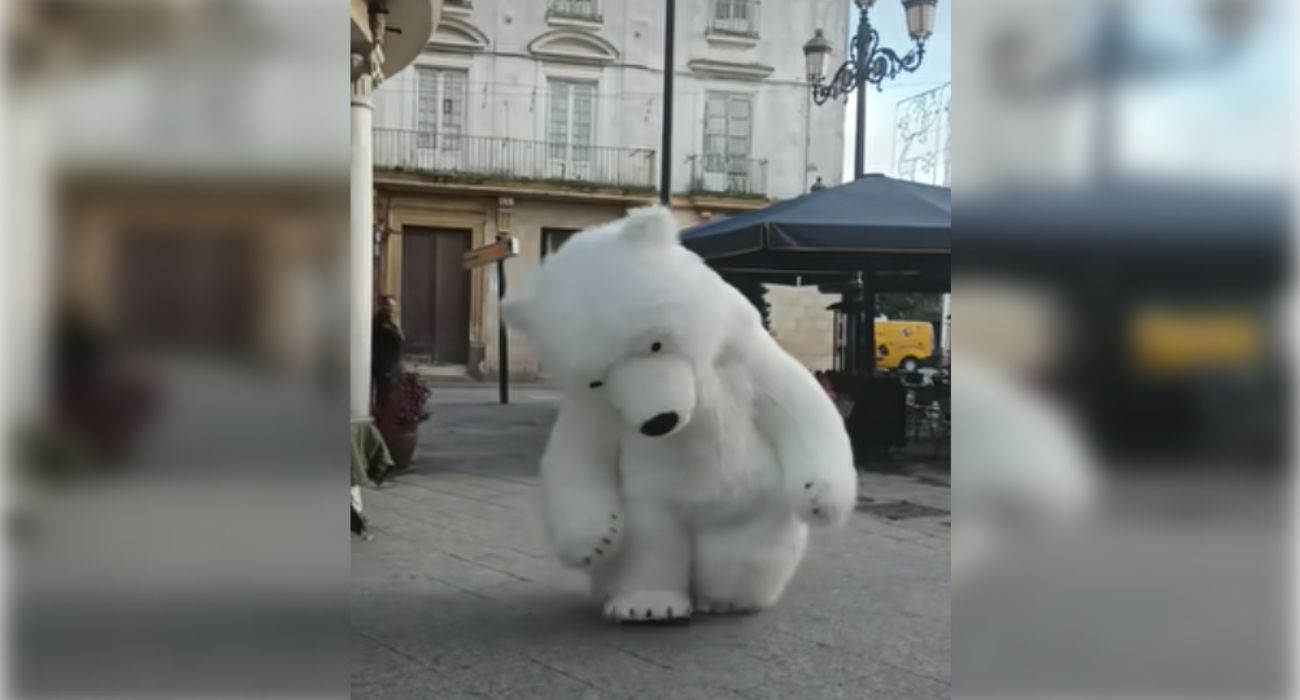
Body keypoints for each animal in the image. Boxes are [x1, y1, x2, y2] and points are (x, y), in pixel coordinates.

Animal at [501, 206, 857, 622]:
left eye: (655, 343)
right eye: (597, 380)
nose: (659, 421)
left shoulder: (740, 355)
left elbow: (800, 402)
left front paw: (820, 498)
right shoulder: (595, 407)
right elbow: (576, 454)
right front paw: (595, 540)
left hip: (754, 502)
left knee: (740, 552)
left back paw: (726, 598)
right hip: (651, 502)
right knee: (649, 545)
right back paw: (647, 603)